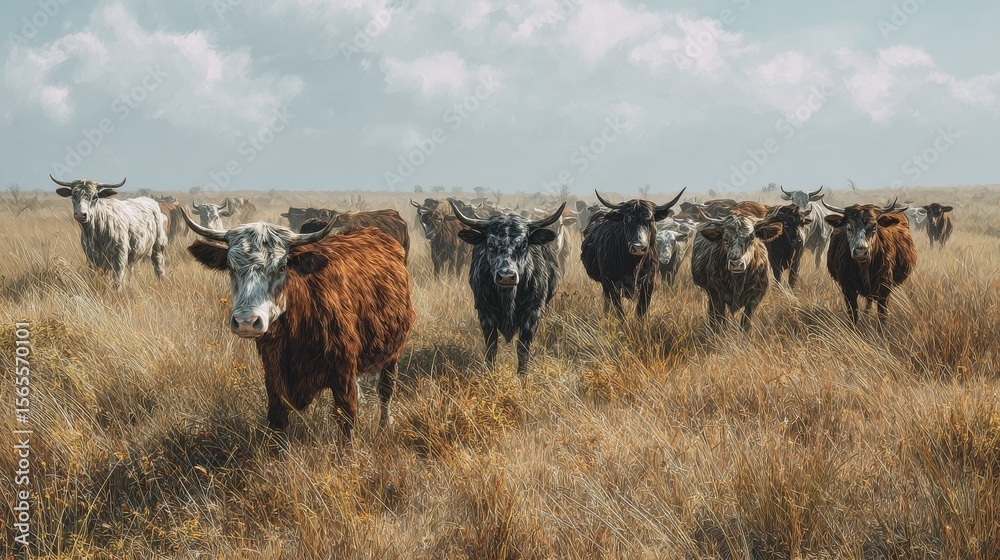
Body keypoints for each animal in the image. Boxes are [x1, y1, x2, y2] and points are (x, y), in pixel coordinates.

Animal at [179, 210, 414, 442]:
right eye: (230, 267)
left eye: (282, 266)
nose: (246, 322)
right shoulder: (274, 372)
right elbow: (277, 421)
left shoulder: (343, 373)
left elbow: (346, 422)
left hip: (392, 352)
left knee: (386, 389)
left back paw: (384, 426)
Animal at [450, 200, 563, 376]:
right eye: (490, 244)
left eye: (524, 244)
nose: (506, 276)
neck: (508, 296)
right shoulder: (485, 311)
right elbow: (491, 347)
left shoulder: (532, 312)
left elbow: (523, 349)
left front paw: (522, 376)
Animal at [580, 189, 686, 319]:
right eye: (626, 220)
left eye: (650, 220)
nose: (638, 247)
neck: (633, 264)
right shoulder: (610, 281)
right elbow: (619, 311)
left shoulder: (649, 283)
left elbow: (641, 311)